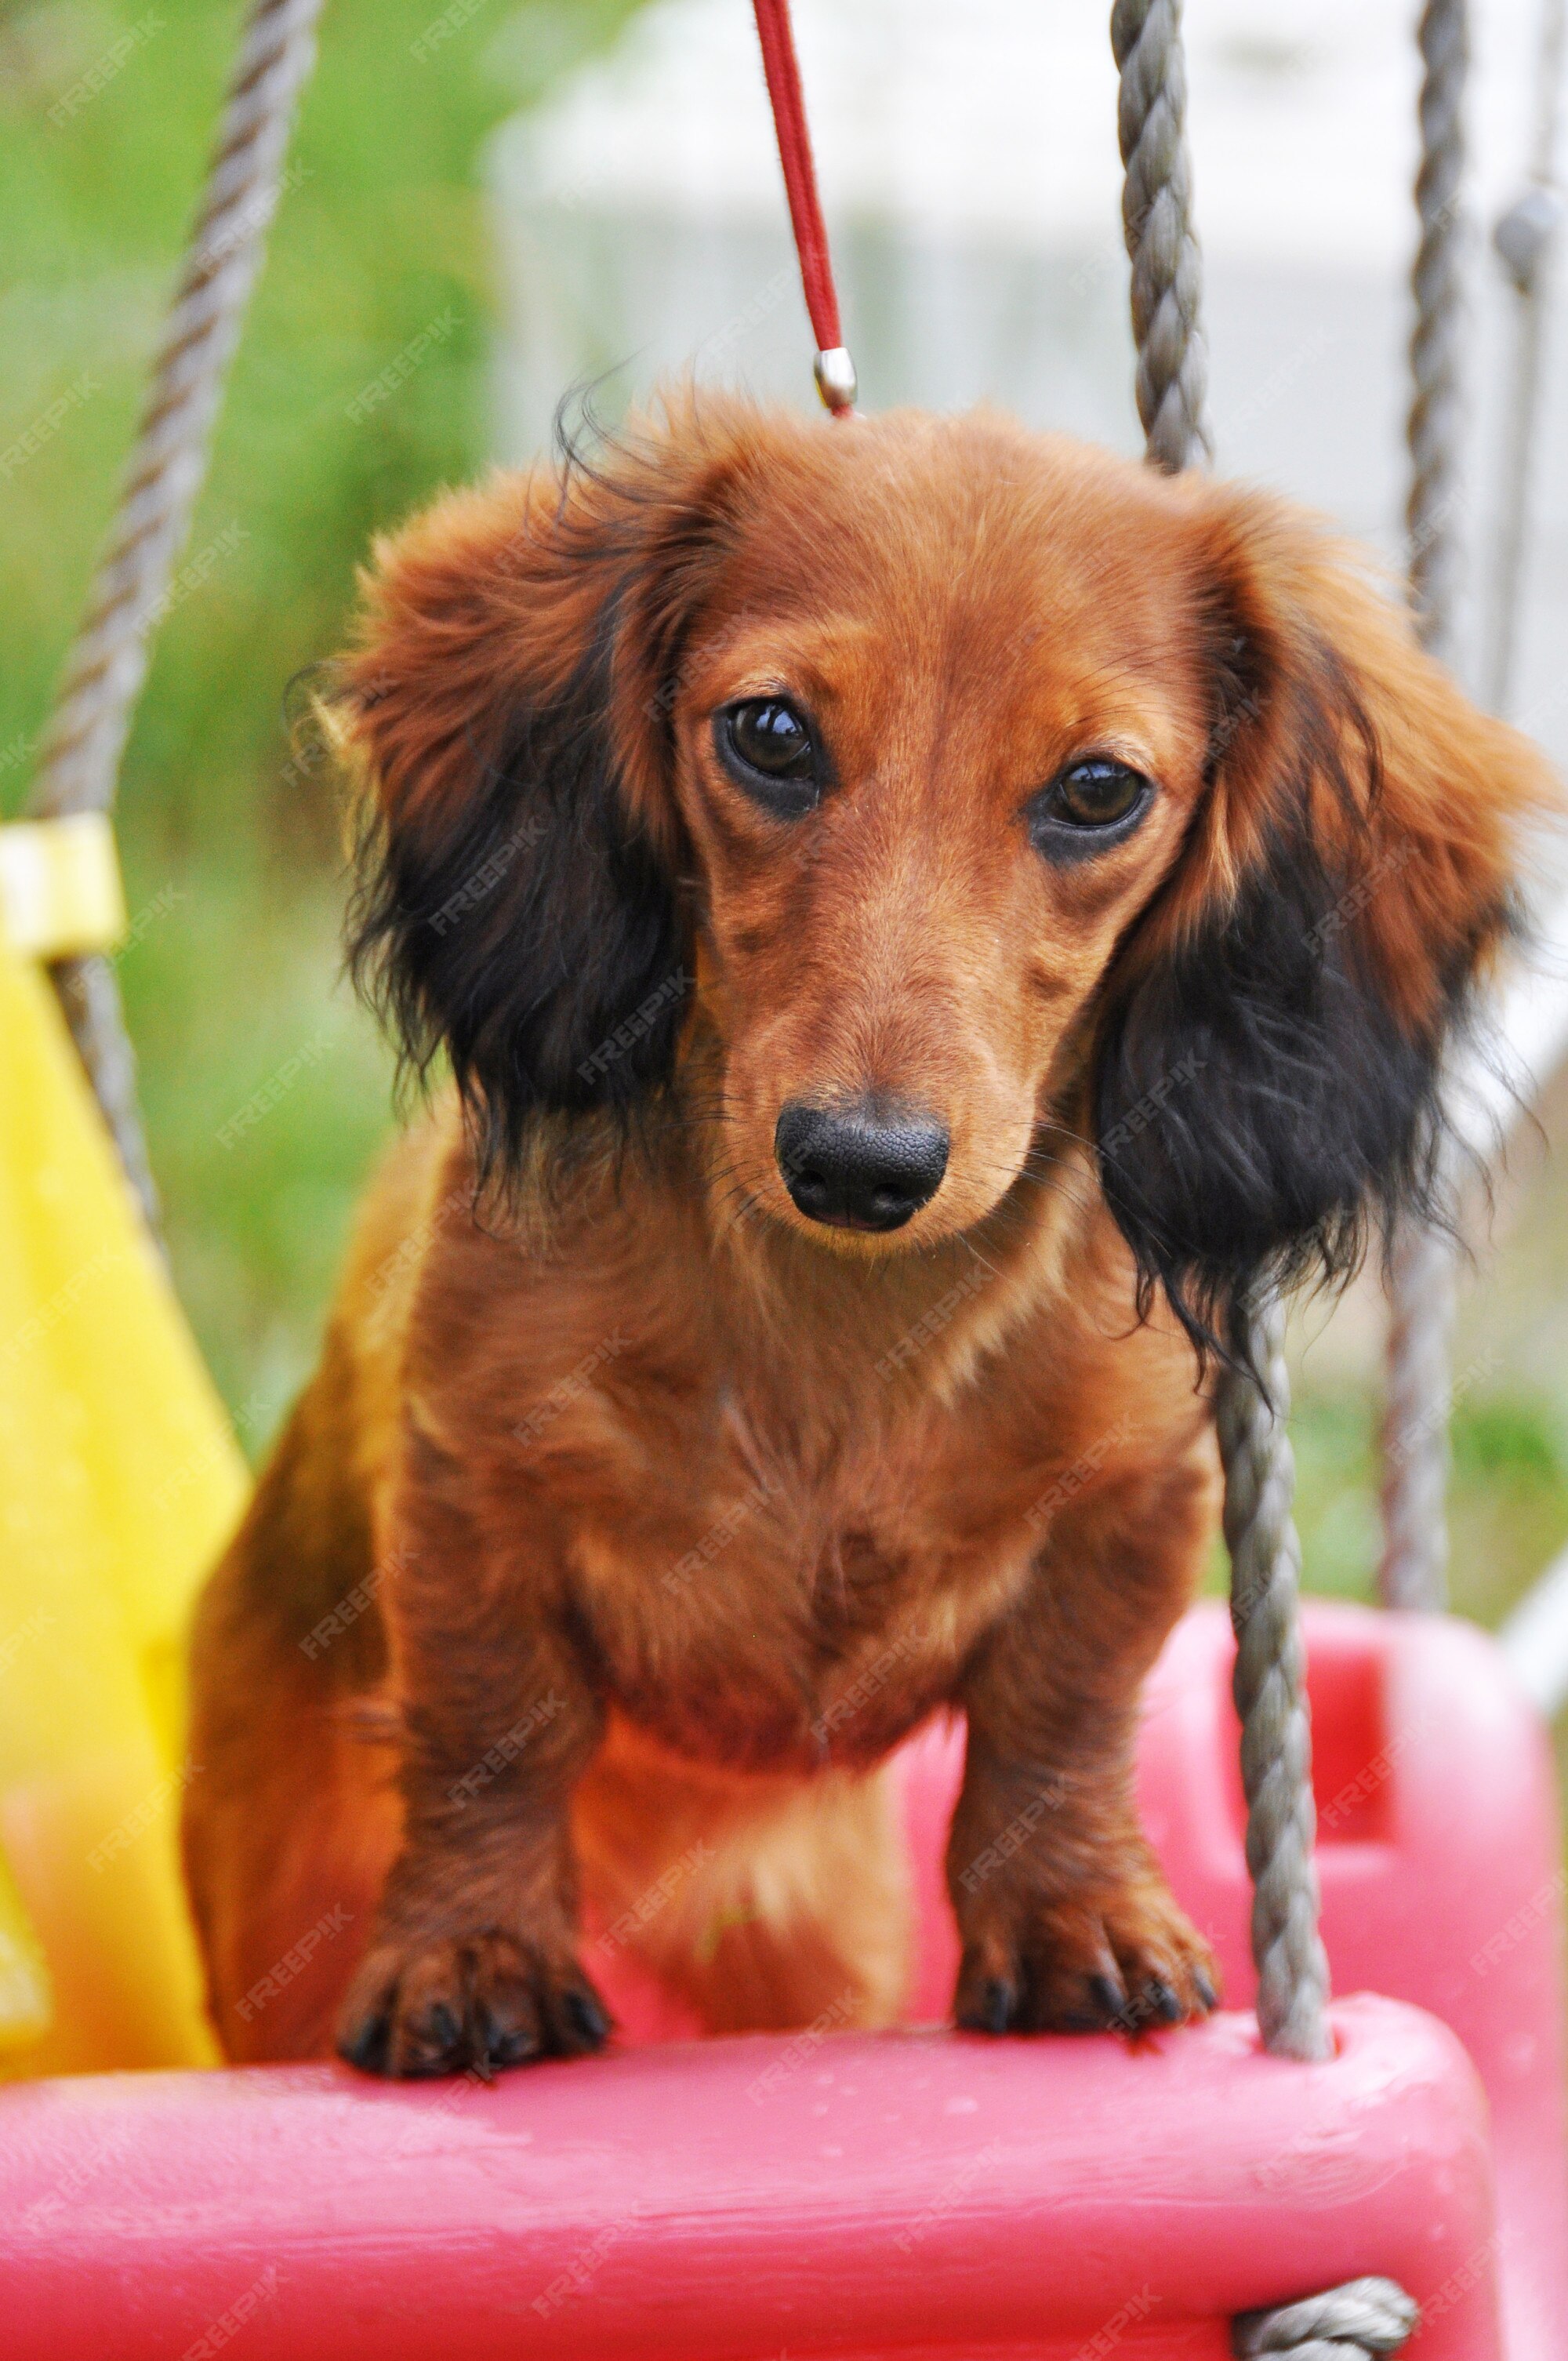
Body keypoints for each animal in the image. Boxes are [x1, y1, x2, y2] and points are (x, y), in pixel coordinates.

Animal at [180, 396, 1539, 2077]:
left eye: (1100, 789)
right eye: (771, 734)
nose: (861, 1165)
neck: (844, 1315)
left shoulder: (1132, 1505)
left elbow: (1061, 1723)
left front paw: (1077, 1917)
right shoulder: (472, 1484)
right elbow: (494, 1733)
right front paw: (473, 1950)